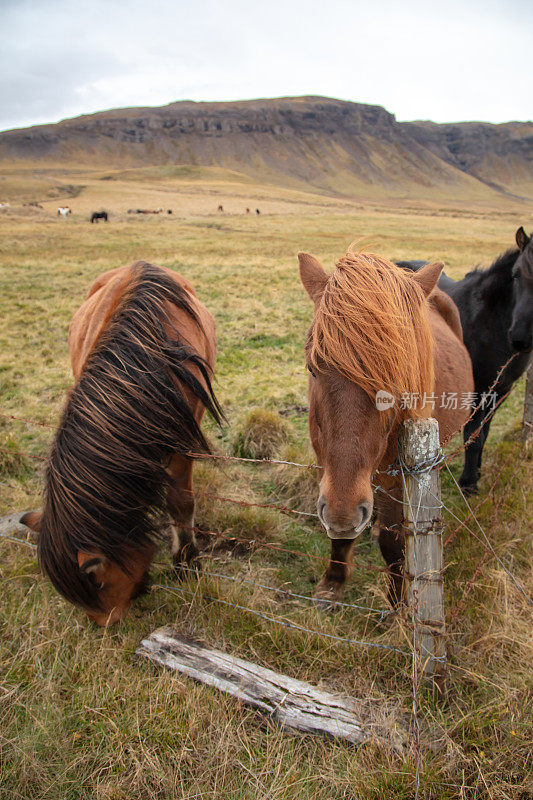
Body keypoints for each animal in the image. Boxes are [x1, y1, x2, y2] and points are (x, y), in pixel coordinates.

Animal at [300, 250, 474, 608]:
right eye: (312, 368)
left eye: (398, 377)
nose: (343, 513)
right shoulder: (327, 466)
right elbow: (340, 538)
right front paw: (332, 582)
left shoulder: (396, 478)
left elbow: (393, 541)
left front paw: (397, 606)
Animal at [394, 225, 532, 496]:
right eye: (516, 274)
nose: (521, 337)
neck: (490, 322)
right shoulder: (476, 391)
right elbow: (473, 436)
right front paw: (468, 482)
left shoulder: (501, 390)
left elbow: (482, 433)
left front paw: (476, 472)